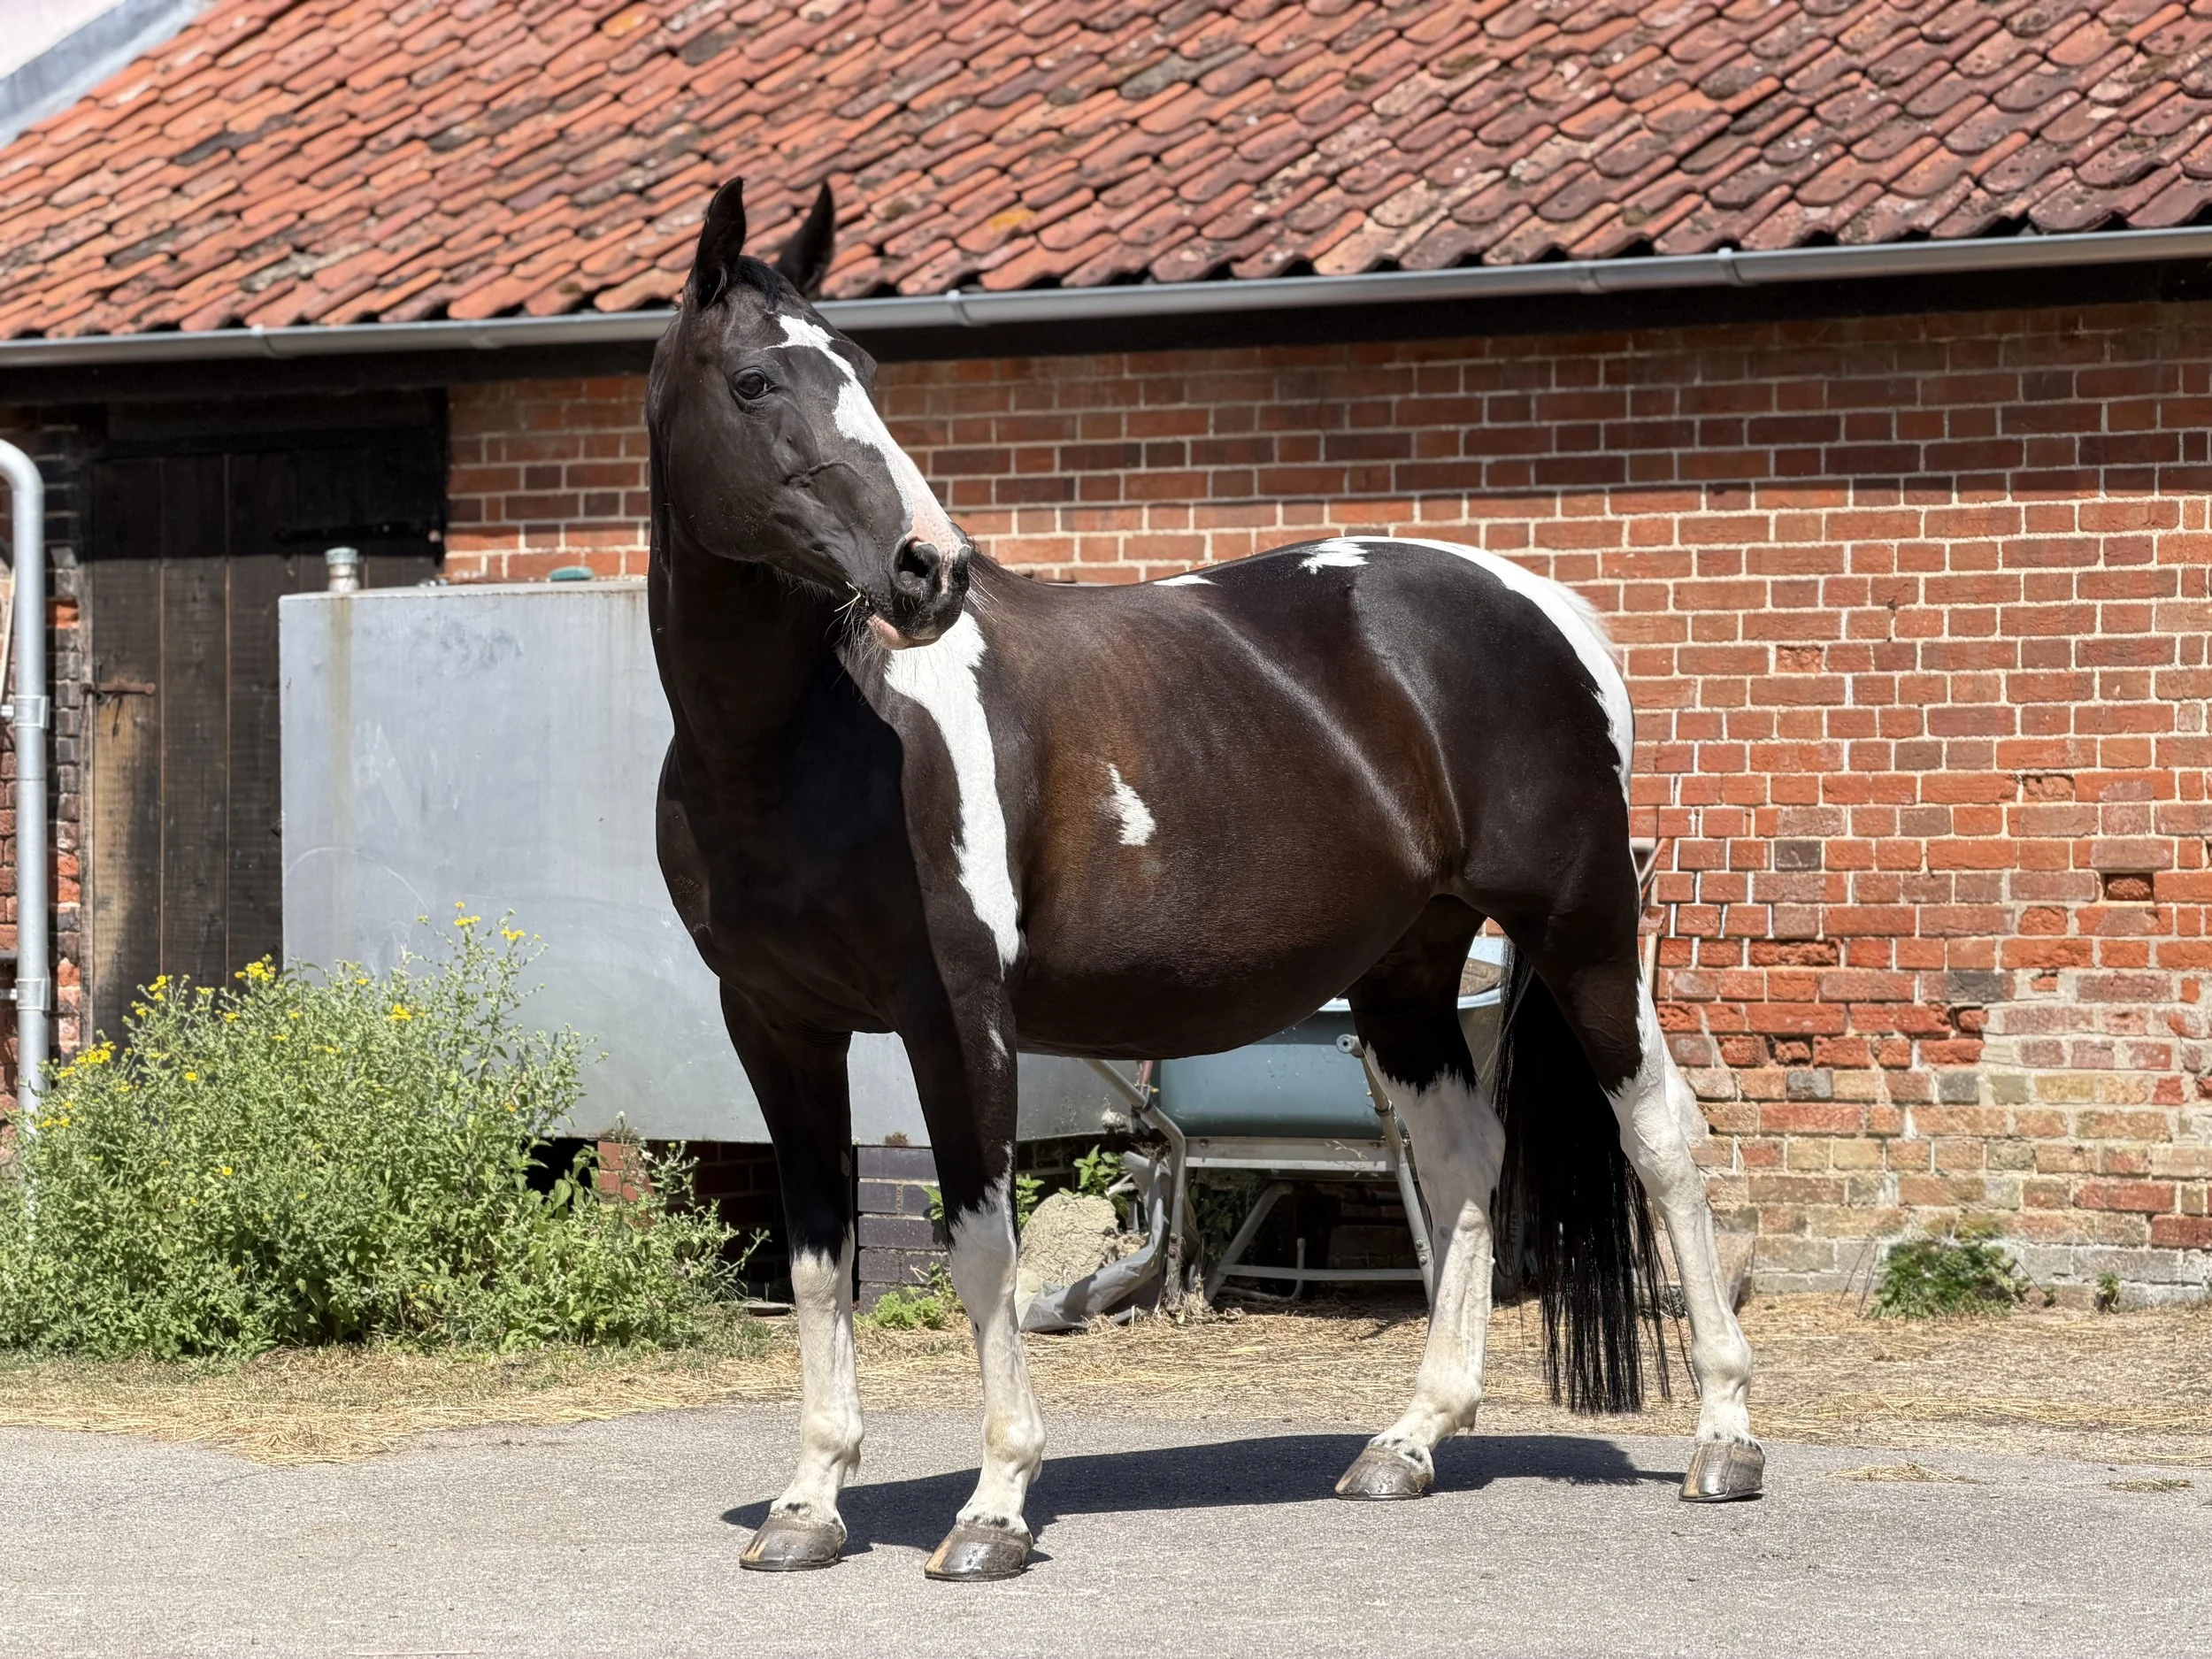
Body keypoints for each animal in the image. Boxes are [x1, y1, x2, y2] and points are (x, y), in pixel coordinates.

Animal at [647, 179, 1762, 1583]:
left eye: (864, 367)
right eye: (754, 381)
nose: (930, 567)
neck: (808, 743)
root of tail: (1547, 605)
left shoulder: (957, 1018)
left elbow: (982, 1249)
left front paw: (994, 1507)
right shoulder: (776, 1025)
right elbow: (812, 1262)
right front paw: (807, 1504)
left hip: (1585, 931)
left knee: (1661, 1139)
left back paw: (1725, 1441)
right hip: (1408, 972)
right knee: (1465, 1157)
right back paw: (1409, 1443)